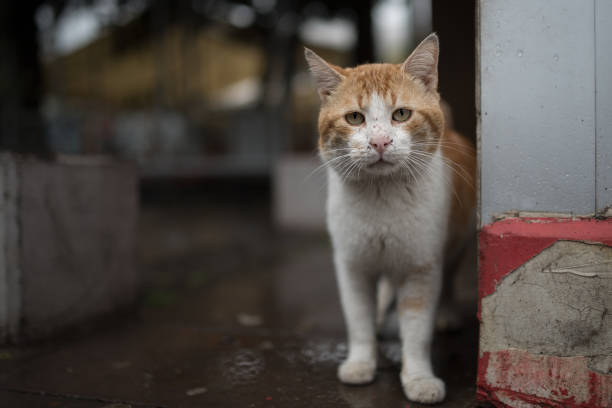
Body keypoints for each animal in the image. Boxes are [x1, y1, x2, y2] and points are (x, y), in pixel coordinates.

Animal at [306, 33, 478, 404]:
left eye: (401, 114)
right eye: (354, 118)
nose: (380, 141)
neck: (381, 197)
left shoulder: (421, 268)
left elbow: (416, 330)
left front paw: (419, 379)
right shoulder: (353, 266)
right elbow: (358, 319)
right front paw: (361, 363)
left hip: (455, 246)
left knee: (449, 280)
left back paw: (445, 314)